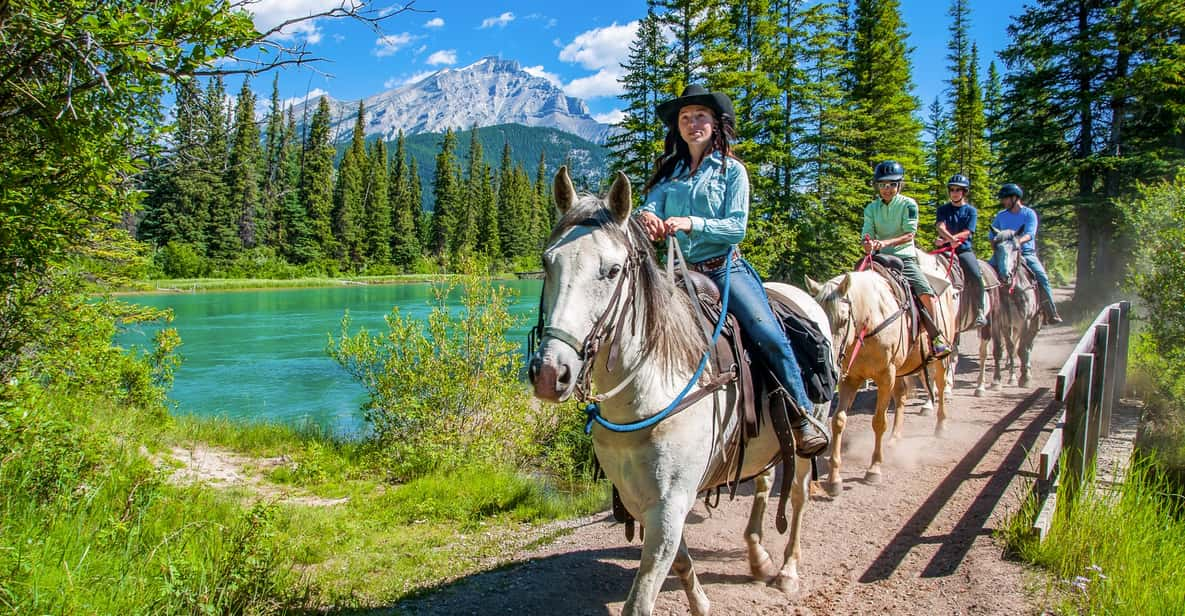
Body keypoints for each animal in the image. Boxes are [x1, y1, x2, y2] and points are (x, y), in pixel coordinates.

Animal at [528, 168, 834, 616]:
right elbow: (682, 561)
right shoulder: (645, 501)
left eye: (613, 270)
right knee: (763, 482)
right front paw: (701, 604)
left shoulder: (670, 503)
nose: (551, 373)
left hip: (809, 436)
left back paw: (787, 572)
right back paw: (758, 558)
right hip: (766, 438)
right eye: (547, 262)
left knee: (797, 496)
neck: (646, 395)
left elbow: (641, 598)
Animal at [985, 228, 1042, 388]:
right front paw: (997, 380)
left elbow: (1022, 349)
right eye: (996, 248)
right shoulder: (999, 322)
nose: (1006, 276)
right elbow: (1000, 349)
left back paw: (1026, 371)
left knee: (1028, 345)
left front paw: (1025, 378)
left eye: (1016, 248)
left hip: (1035, 322)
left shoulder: (1026, 321)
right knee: (1012, 346)